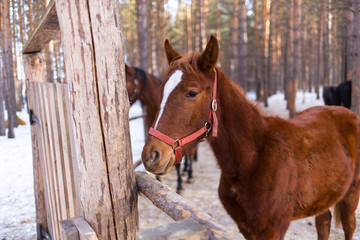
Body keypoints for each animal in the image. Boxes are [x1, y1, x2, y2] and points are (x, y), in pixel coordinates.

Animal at [140, 36, 360, 240]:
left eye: (192, 93)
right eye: (161, 91)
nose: (152, 156)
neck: (251, 159)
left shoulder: (273, 229)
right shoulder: (245, 227)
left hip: (351, 194)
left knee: (349, 226)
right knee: (324, 223)